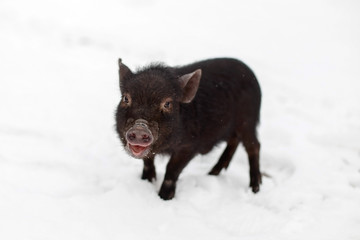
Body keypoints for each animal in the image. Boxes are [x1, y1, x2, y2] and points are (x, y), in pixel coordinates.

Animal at [116, 57, 262, 200]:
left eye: (167, 103)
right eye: (126, 98)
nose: (140, 127)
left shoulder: (188, 147)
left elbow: (172, 169)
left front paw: (164, 197)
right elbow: (147, 162)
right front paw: (145, 181)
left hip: (248, 121)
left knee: (254, 146)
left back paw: (255, 189)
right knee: (234, 141)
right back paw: (212, 174)